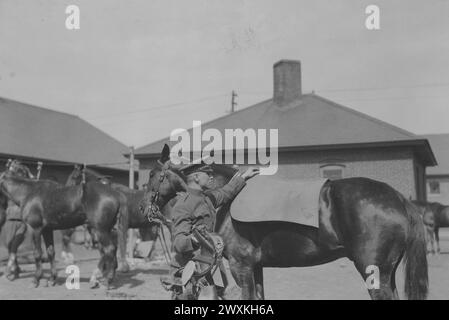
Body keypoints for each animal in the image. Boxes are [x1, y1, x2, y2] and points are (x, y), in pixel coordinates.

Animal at [0, 168, 128, 288]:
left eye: (75, 176)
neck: (28, 192)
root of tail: (115, 194)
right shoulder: (47, 230)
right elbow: (50, 252)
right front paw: (52, 279)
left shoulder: (34, 228)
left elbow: (37, 253)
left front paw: (35, 280)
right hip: (106, 229)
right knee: (110, 250)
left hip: (101, 230)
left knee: (109, 249)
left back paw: (107, 280)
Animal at [142, 145, 426, 300]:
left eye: (153, 175)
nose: (145, 209)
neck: (224, 203)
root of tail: (399, 198)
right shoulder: (255, 268)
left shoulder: (241, 267)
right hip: (387, 273)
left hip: (374, 272)